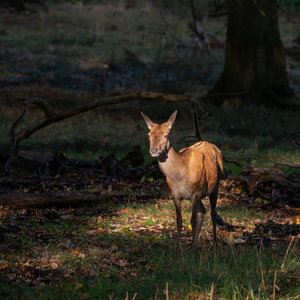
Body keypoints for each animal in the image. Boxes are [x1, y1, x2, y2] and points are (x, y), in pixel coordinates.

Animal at [142, 110, 224, 248]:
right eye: (149, 135)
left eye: (166, 135)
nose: (154, 150)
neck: (180, 177)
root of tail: (215, 147)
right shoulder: (175, 194)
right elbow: (179, 220)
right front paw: (178, 248)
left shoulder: (197, 191)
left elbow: (193, 220)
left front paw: (190, 251)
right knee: (203, 211)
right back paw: (195, 244)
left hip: (216, 184)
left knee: (213, 212)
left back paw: (214, 244)